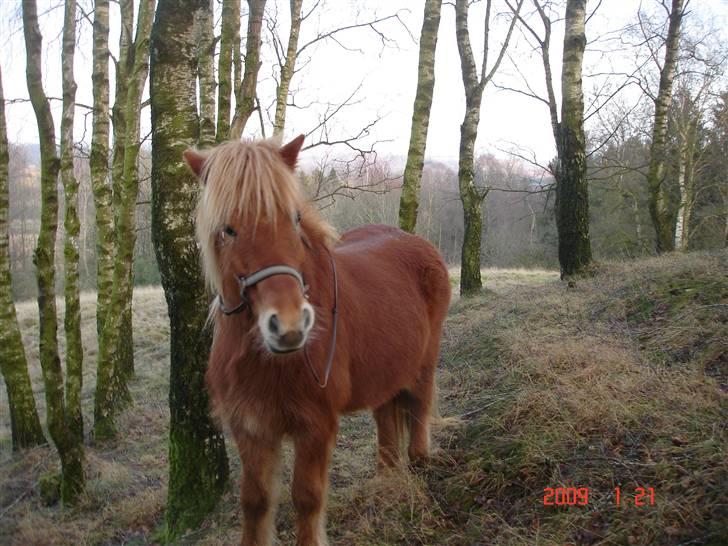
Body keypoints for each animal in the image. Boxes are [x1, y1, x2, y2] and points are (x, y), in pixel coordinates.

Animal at [184, 135, 451, 546]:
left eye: (294, 219)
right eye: (228, 229)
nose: (290, 325)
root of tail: (419, 245)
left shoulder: (315, 425)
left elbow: (307, 498)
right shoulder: (251, 428)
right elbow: (255, 502)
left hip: (424, 365)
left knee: (419, 411)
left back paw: (419, 469)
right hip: (384, 374)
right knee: (387, 426)